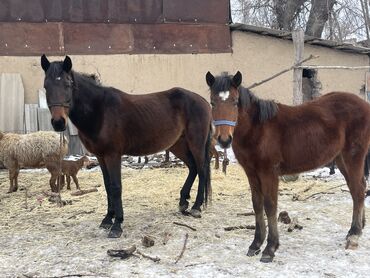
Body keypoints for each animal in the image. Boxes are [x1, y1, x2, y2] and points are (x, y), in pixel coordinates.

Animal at [39, 55, 211, 238]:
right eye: (46, 86)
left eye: (67, 84)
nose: (58, 122)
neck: (100, 111)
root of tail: (203, 102)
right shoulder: (100, 156)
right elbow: (107, 186)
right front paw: (108, 219)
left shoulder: (113, 155)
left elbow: (116, 187)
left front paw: (117, 225)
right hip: (178, 145)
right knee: (193, 167)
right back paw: (183, 202)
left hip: (196, 143)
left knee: (202, 170)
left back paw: (196, 207)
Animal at [205, 70, 370, 262]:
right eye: (212, 102)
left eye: (235, 101)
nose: (224, 140)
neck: (258, 129)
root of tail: (364, 105)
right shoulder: (251, 173)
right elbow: (257, 204)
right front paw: (255, 244)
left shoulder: (269, 172)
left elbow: (270, 206)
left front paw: (270, 248)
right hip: (341, 160)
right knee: (356, 189)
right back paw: (357, 228)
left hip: (353, 157)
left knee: (358, 190)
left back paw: (354, 234)